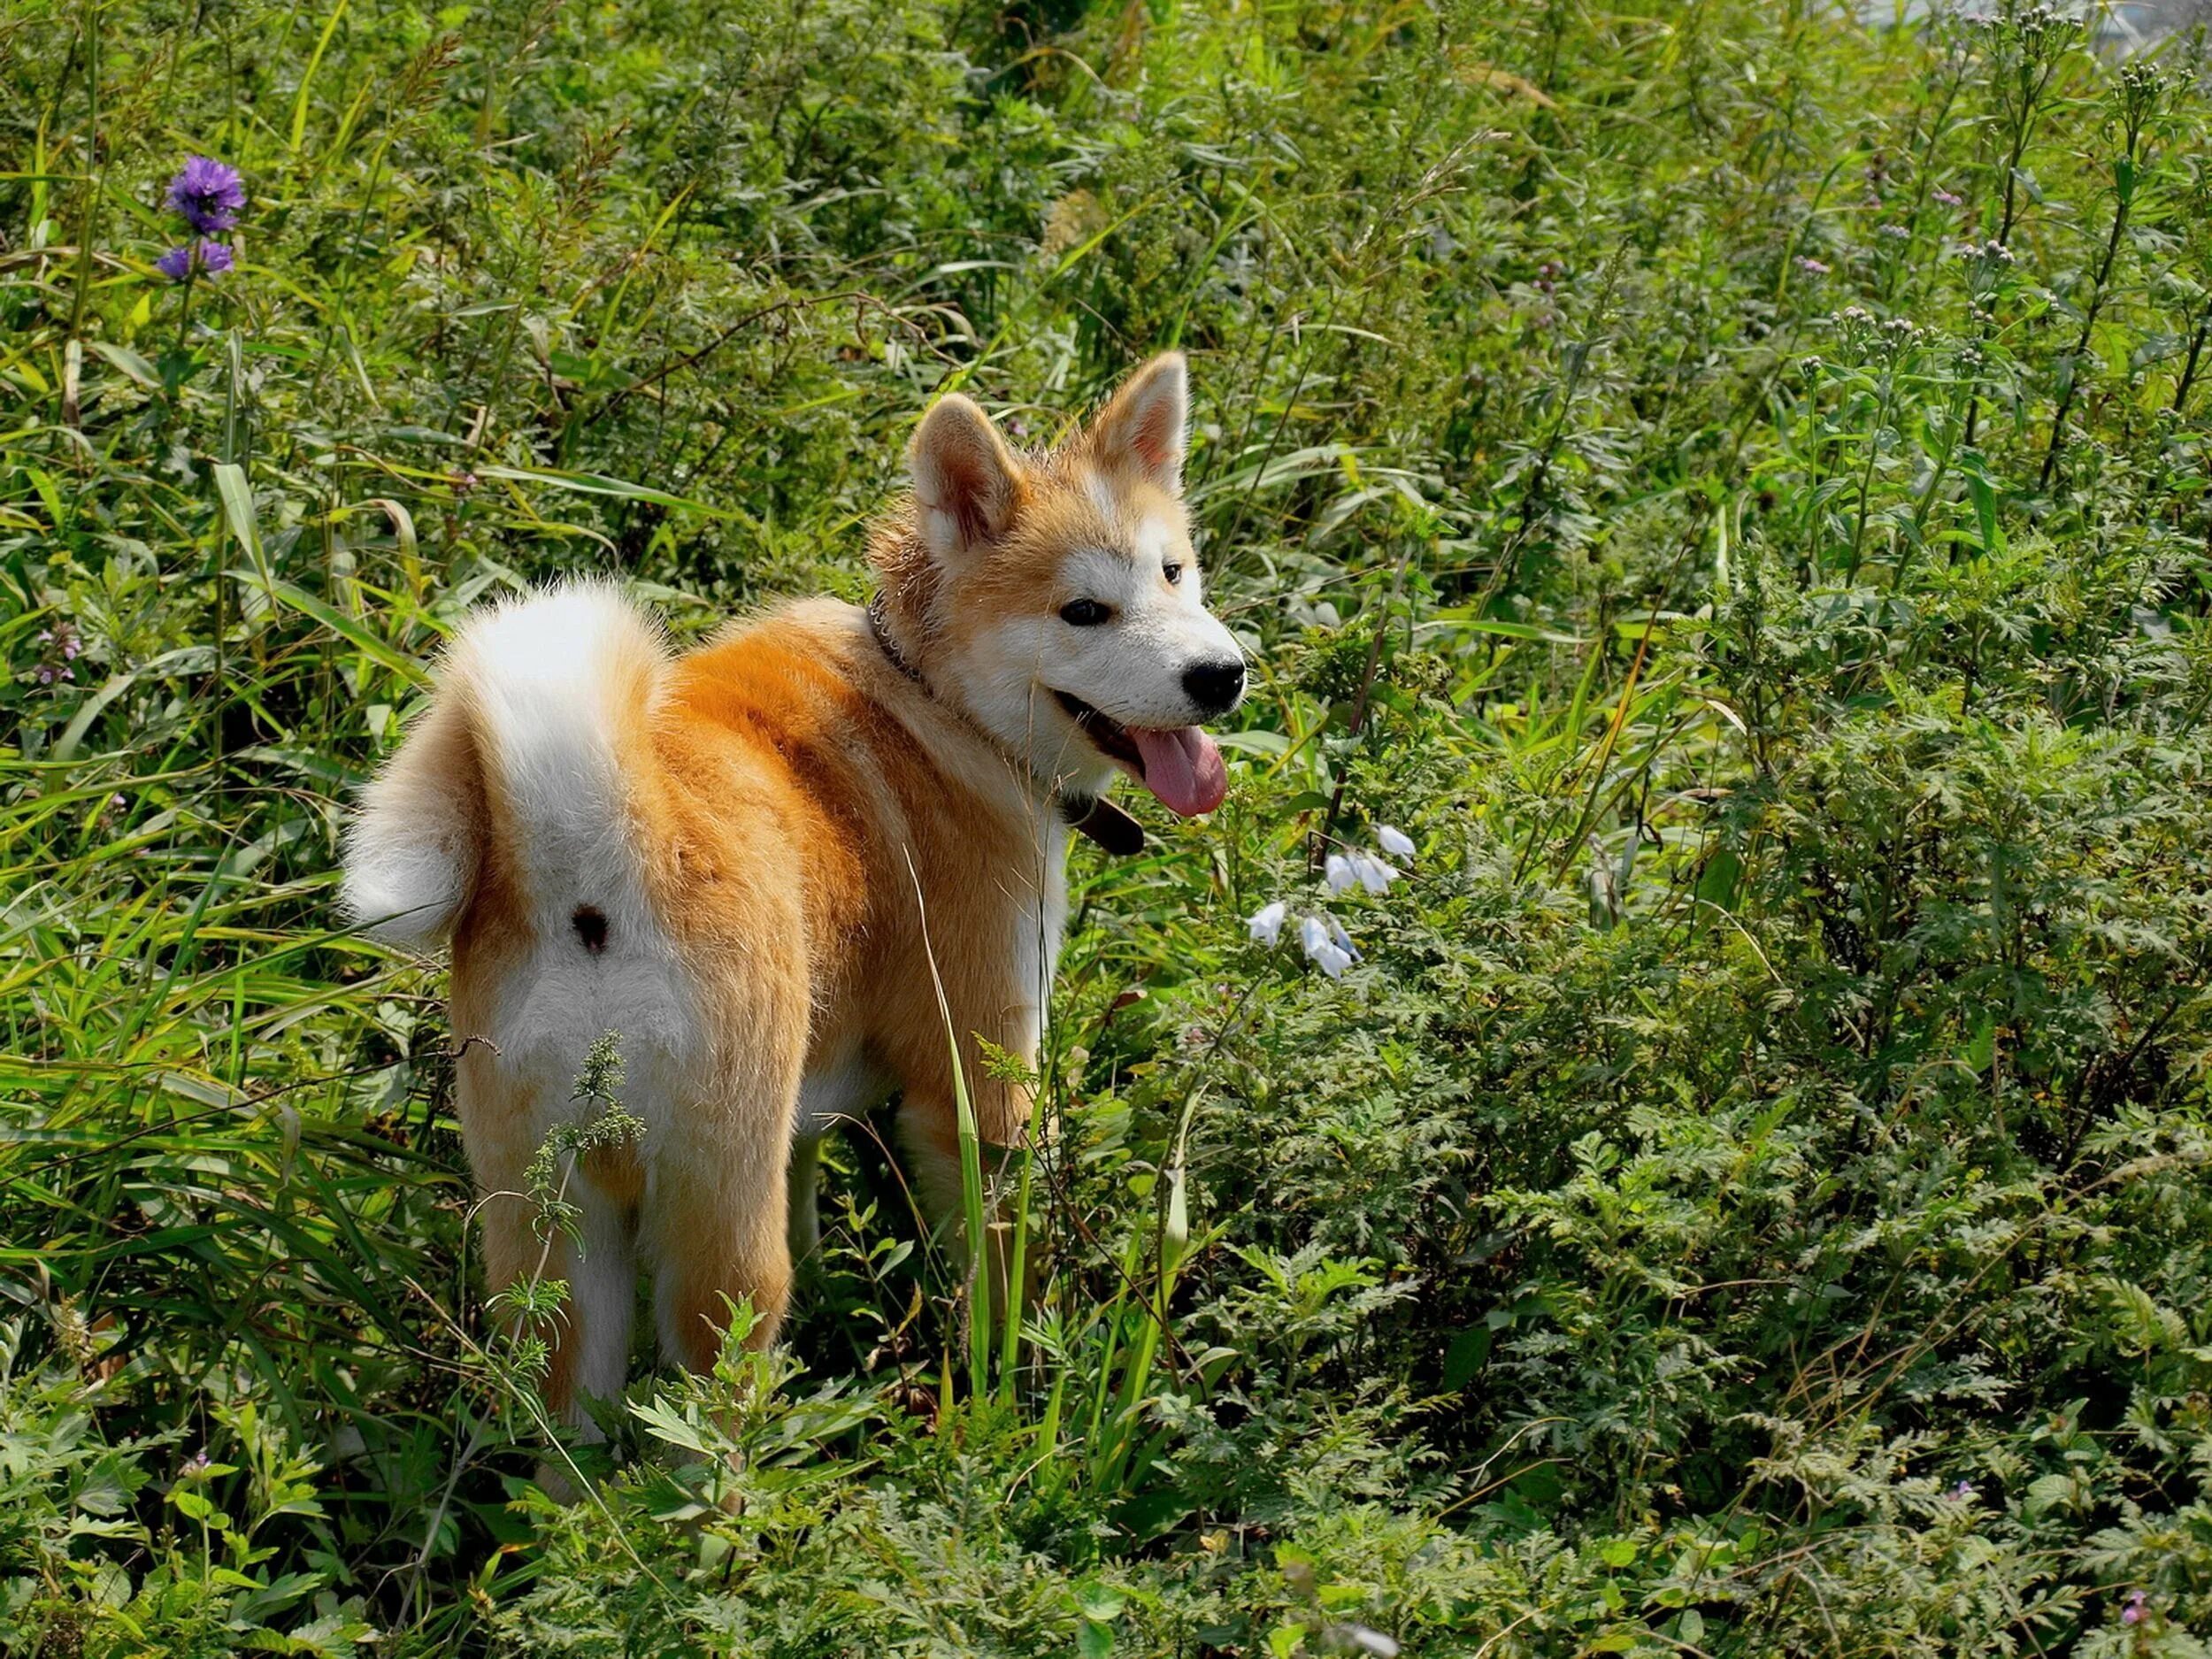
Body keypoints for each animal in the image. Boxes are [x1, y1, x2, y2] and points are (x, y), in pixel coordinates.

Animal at [342, 354, 1248, 1433]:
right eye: (1082, 612)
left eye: (1173, 572)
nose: (1222, 675)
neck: (933, 703)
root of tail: (592, 861)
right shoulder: (976, 1087)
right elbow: (999, 1272)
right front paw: (1013, 1382)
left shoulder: (806, 1107)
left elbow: (817, 1185)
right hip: (719, 1228)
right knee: (710, 1409)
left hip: (555, 1230)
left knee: (570, 1418)